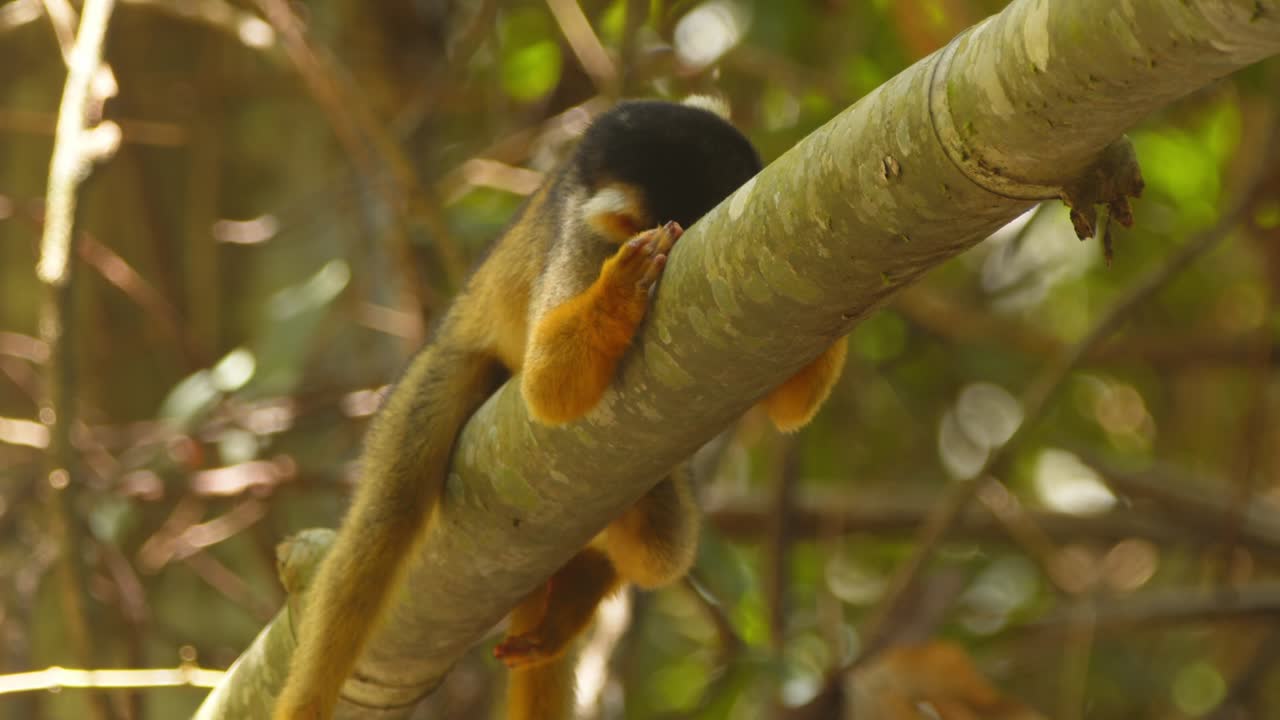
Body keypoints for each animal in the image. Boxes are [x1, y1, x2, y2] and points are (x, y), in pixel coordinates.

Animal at [273, 98, 848, 720]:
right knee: (384, 521)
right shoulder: (584, 241)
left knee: (663, 544)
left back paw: (579, 591)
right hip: (436, 372)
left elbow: (788, 401)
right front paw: (620, 290)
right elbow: (548, 385)